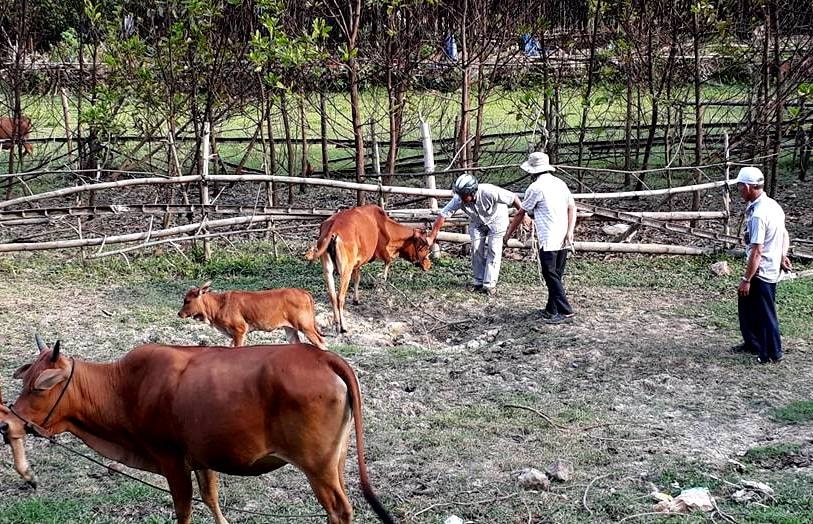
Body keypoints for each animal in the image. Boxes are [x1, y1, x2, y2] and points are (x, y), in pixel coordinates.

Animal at [11, 338, 394, 520]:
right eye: (25, 381)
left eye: (39, 388)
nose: (7, 421)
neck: (123, 387)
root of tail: (323, 356)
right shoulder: (203, 459)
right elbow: (212, 500)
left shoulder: (171, 459)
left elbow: (184, 508)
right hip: (335, 461)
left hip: (318, 467)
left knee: (338, 510)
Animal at [178, 280, 326, 350]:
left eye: (187, 301)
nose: (179, 313)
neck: (219, 305)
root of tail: (302, 291)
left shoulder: (239, 330)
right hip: (290, 328)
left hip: (305, 326)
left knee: (321, 343)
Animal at [304, 206, 432, 334]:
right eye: (424, 247)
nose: (428, 265)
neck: (383, 225)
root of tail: (333, 229)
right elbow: (385, 265)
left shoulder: (356, 264)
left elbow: (357, 279)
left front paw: (356, 300)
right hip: (345, 270)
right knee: (340, 297)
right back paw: (343, 326)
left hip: (328, 271)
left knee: (332, 296)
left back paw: (336, 324)